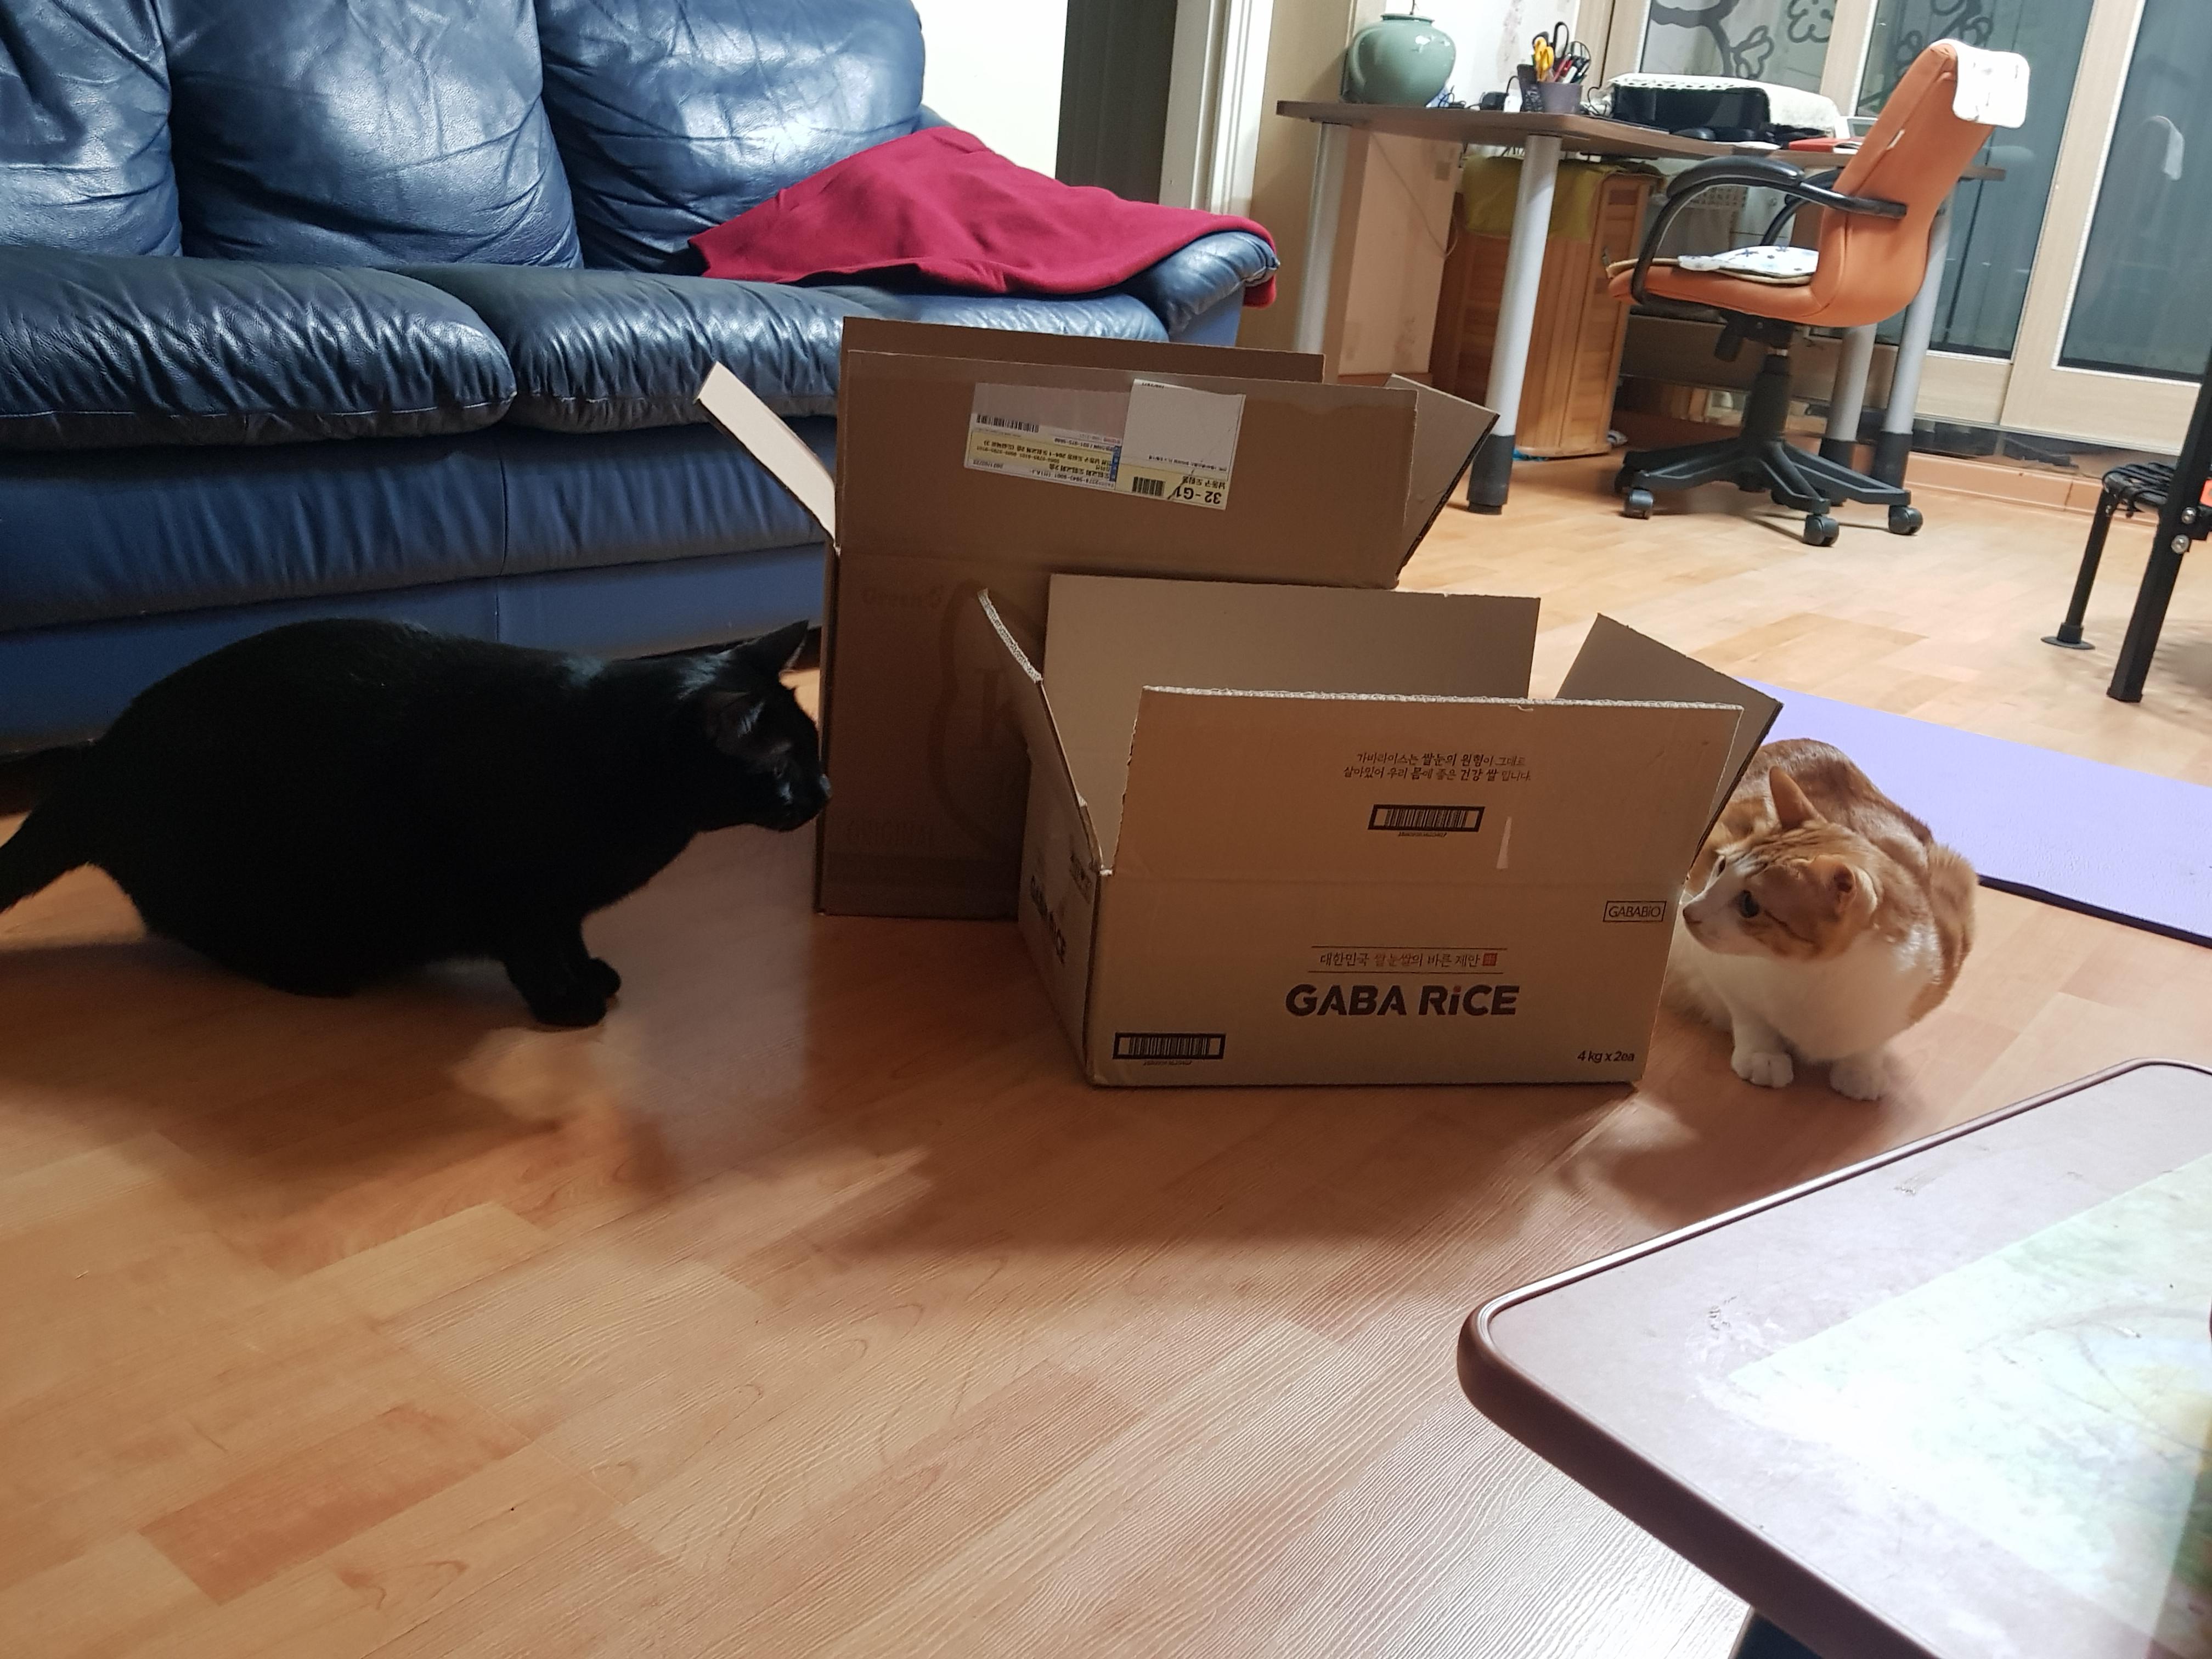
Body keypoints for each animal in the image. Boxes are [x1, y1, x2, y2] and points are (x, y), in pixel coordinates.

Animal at [0, 617, 827, 1027]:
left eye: (815, 749)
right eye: (788, 765)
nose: (824, 788)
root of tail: (98, 762)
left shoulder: (561, 898)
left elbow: (570, 932)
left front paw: (590, 970)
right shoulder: (514, 890)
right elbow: (535, 950)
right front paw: (565, 1004)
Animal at [1666, 738, 1975, 1100]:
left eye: (1749, 905)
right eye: (1721, 866)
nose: (1689, 912)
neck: (1810, 977)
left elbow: (1875, 1041)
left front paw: (1862, 1069)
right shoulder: (1715, 968)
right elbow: (1749, 1015)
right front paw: (1762, 1055)